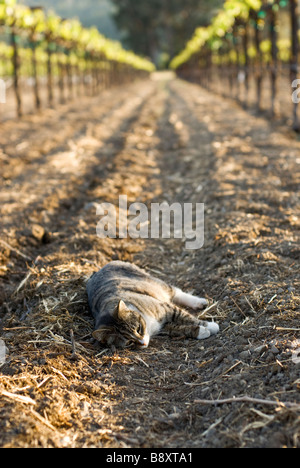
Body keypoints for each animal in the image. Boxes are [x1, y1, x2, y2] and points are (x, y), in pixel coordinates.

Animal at [85, 262, 219, 350]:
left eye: (138, 328)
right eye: (129, 342)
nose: (143, 343)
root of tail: (99, 269)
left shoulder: (166, 308)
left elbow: (187, 317)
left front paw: (211, 326)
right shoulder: (163, 327)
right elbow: (179, 329)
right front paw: (201, 331)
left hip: (155, 282)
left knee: (176, 292)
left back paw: (199, 302)